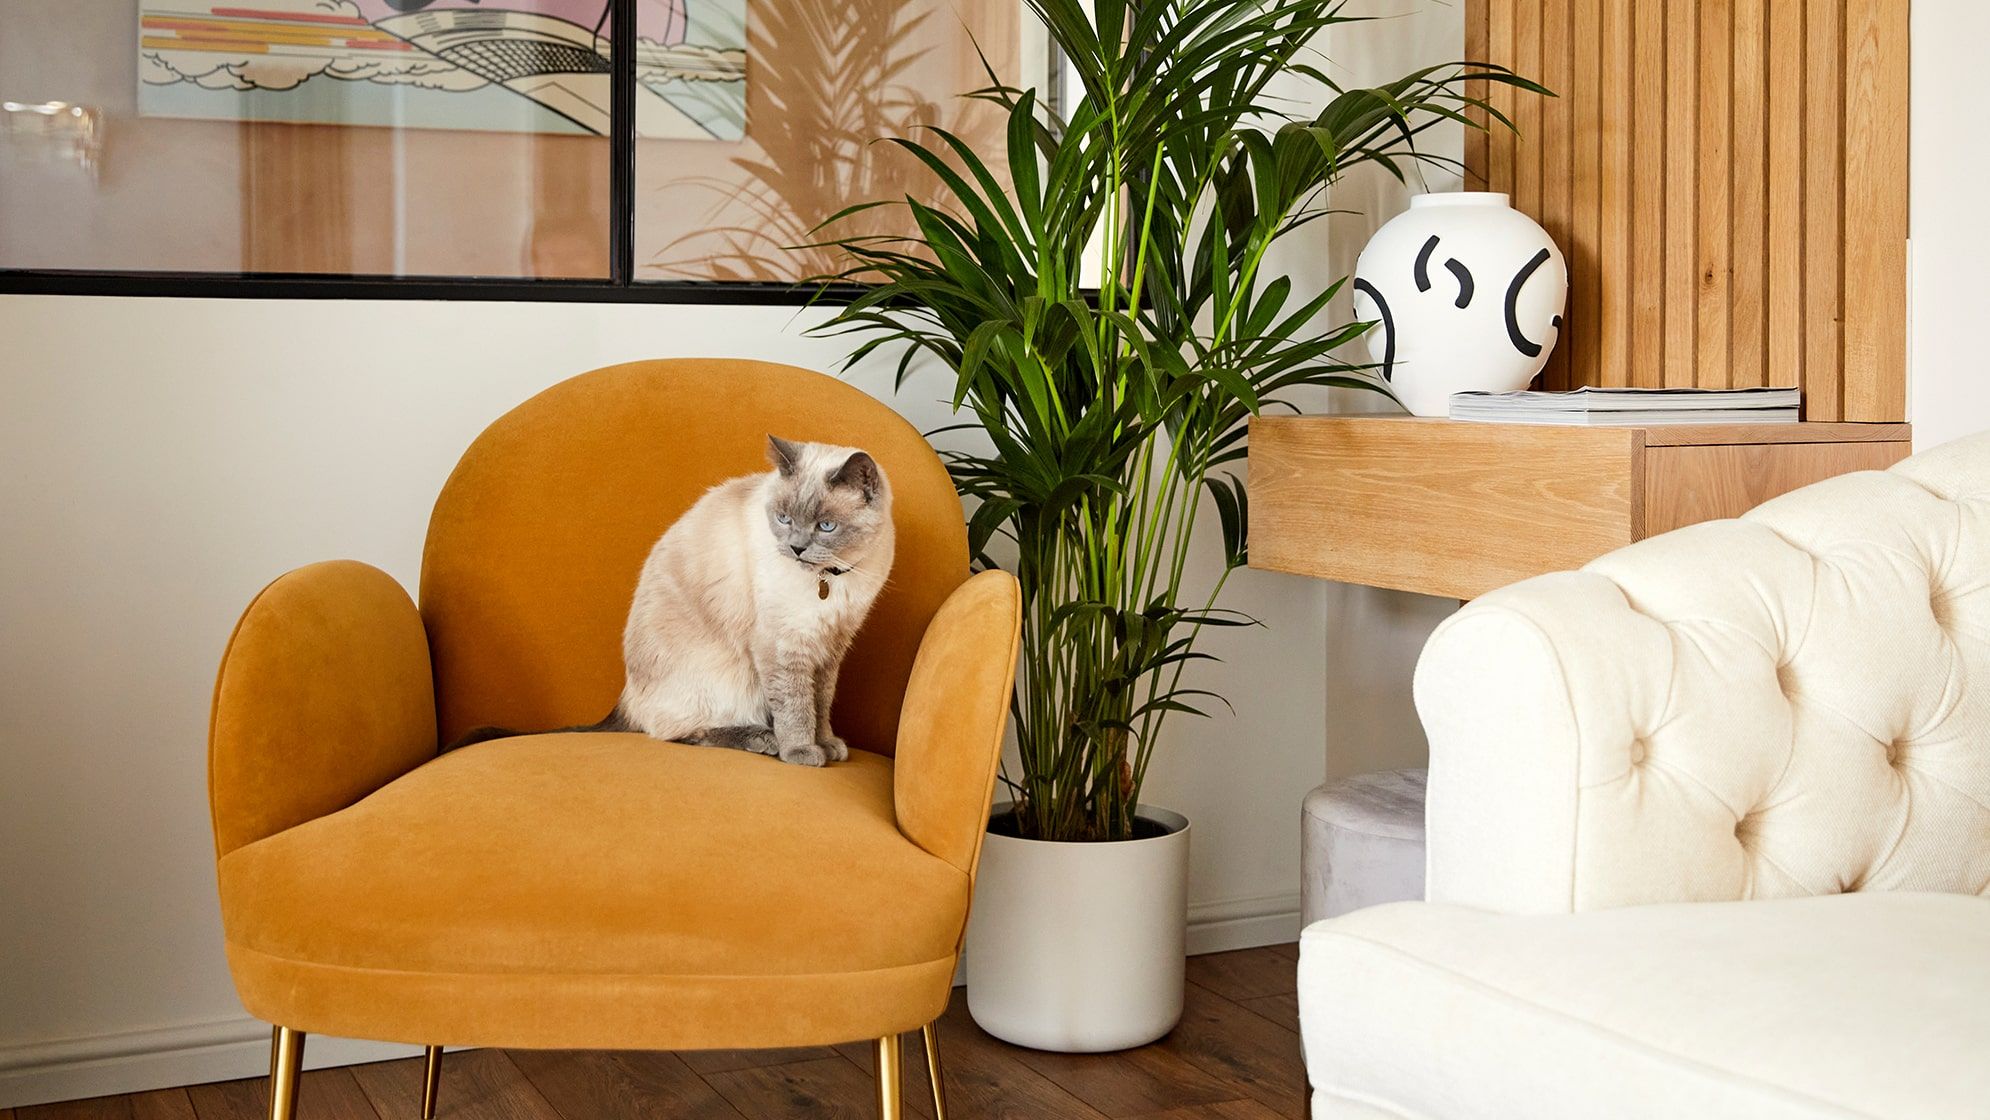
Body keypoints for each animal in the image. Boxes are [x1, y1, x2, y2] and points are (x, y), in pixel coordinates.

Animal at [451, 433, 895, 767]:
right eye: (784, 519)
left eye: (826, 526)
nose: (796, 548)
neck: (831, 578)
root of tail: (626, 696)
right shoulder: (785, 647)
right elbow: (796, 706)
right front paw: (803, 751)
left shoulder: (830, 647)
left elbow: (821, 703)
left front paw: (829, 745)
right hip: (726, 678)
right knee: (676, 732)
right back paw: (764, 739)